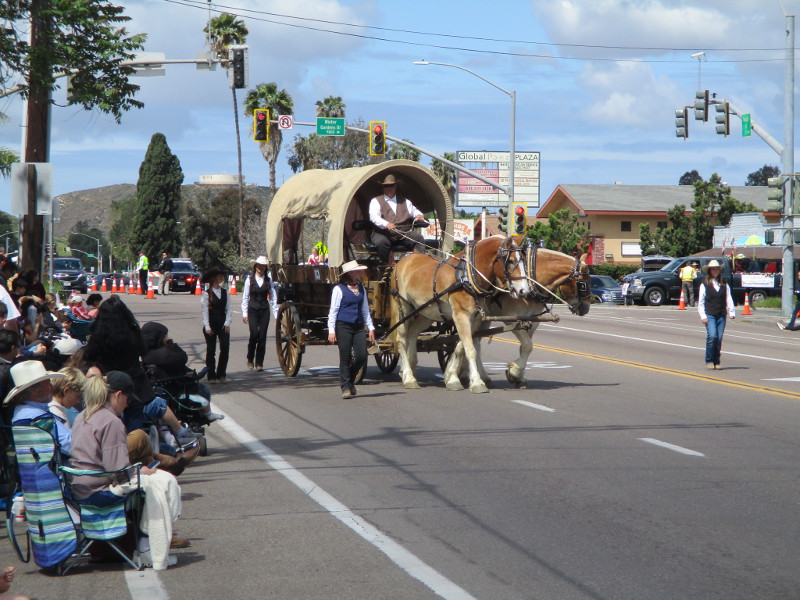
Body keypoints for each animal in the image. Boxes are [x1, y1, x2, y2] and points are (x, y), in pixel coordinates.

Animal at [390, 235, 530, 393]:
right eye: (510, 261)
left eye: (524, 261)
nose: (524, 290)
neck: (468, 276)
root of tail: (403, 260)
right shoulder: (461, 316)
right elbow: (471, 350)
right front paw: (477, 383)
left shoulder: (475, 319)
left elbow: (460, 348)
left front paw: (452, 378)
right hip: (402, 308)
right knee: (402, 340)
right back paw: (409, 377)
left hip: (425, 311)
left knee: (412, 333)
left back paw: (409, 369)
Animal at [444, 245, 591, 389]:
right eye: (584, 284)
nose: (586, 308)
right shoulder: (512, 319)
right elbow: (528, 345)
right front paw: (514, 372)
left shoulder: (533, 320)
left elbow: (525, 346)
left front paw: (519, 375)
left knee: (475, 342)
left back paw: (478, 376)